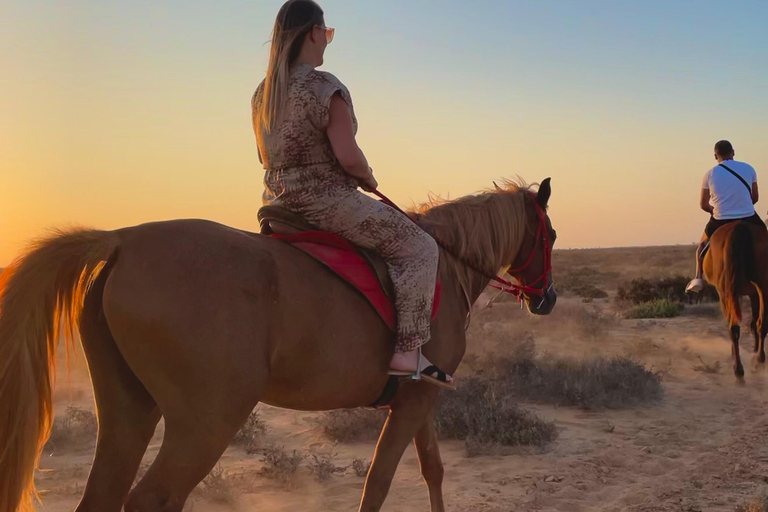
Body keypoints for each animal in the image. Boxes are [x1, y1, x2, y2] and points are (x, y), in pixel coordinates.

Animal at [0, 178, 556, 512]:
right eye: (550, 234)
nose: (546, 299)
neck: (444, 266)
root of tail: (122, 239)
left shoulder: (419, 397)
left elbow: (432, 469)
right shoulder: (416, 400)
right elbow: (378, 481)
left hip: (128, 409)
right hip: (207, 423)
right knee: (152, 499)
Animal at [703, 219, 768, 379]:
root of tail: (739, 227)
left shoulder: (747, 294)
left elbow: (751, 324)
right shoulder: (754, 293)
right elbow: (754, 323)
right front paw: (754, 353)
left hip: (726, 293)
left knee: (735, 328)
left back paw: (741, 367)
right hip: (761, 287)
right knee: (760, 324)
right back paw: (755, 361)